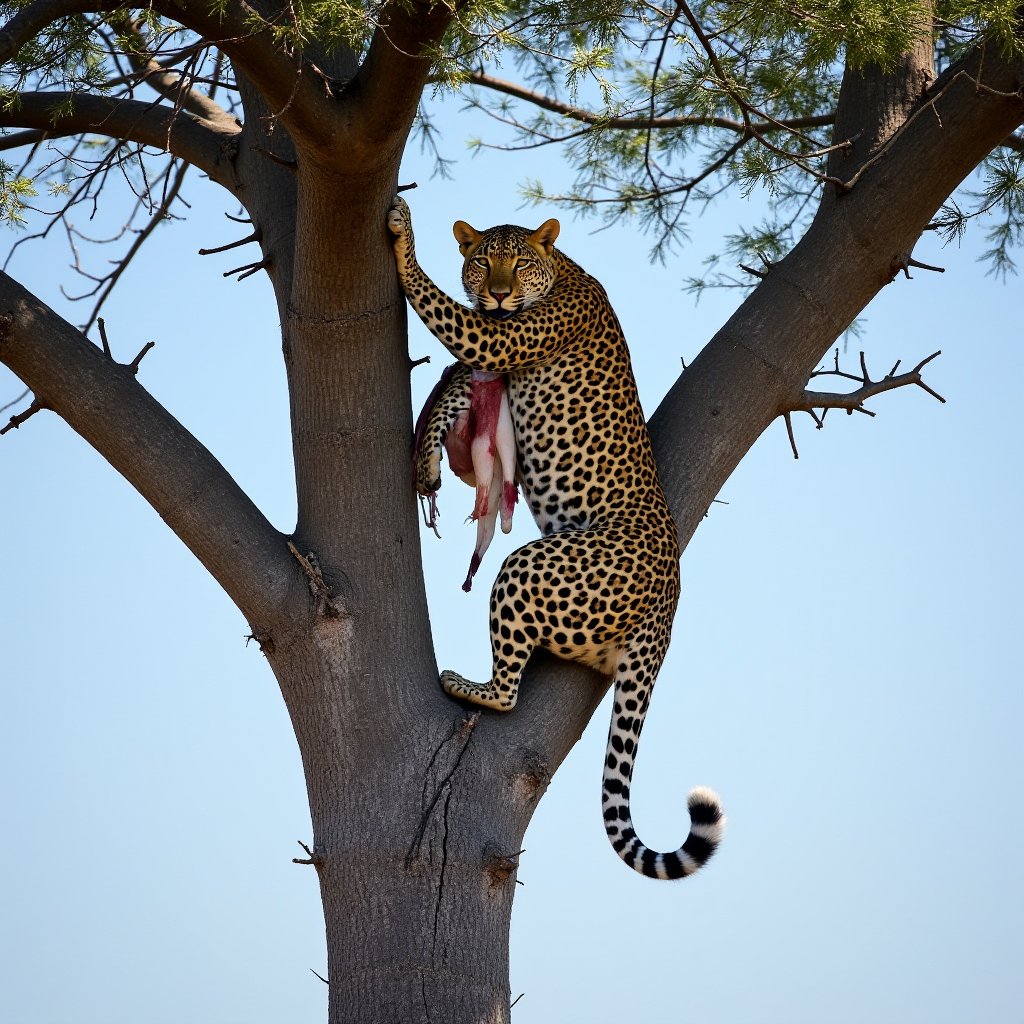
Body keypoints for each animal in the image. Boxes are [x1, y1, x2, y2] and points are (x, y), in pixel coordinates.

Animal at [388, 195, 725, 880]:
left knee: (509, 694)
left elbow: (440, 306)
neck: (563, 269)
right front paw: (429, 458)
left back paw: (467, 684)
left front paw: (404, 233)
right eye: (482, 261)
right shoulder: (491, 349)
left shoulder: (500, 337)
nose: (496, 293)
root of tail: (670, 606)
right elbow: (458, 379)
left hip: (532, 569)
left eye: (517, 263)